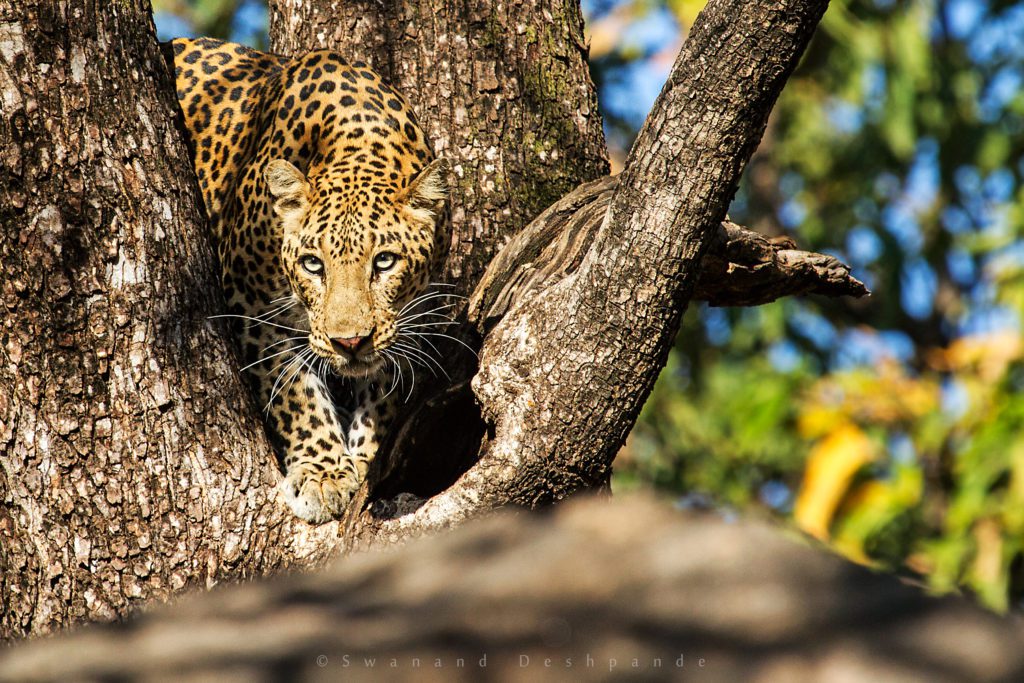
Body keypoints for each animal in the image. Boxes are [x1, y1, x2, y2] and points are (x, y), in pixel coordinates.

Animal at [165, 37, 450, 524]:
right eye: (314, 265)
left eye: (385, 262)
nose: (349, 342)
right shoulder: (253, 307)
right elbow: (295, 394)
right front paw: (324, 474)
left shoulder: (406, 321)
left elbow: (384, 390)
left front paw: (365, 460)